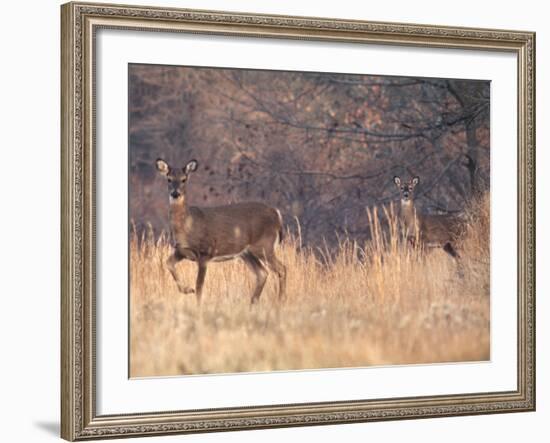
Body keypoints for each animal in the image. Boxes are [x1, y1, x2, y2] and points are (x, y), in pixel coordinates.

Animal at [154, 157, 286, 306]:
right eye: (169, 179)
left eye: (184, 179)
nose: (175, 193)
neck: (187, 226)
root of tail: (277, 213)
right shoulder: (181, 251)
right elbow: (168, 263)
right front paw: (187, 289)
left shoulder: (205, 252)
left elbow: (199, 286)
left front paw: (197, 304)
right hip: (246, 253)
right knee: (262, 273)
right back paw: (252, 303)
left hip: (264, 245)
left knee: (282, 269)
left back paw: (280, 301)